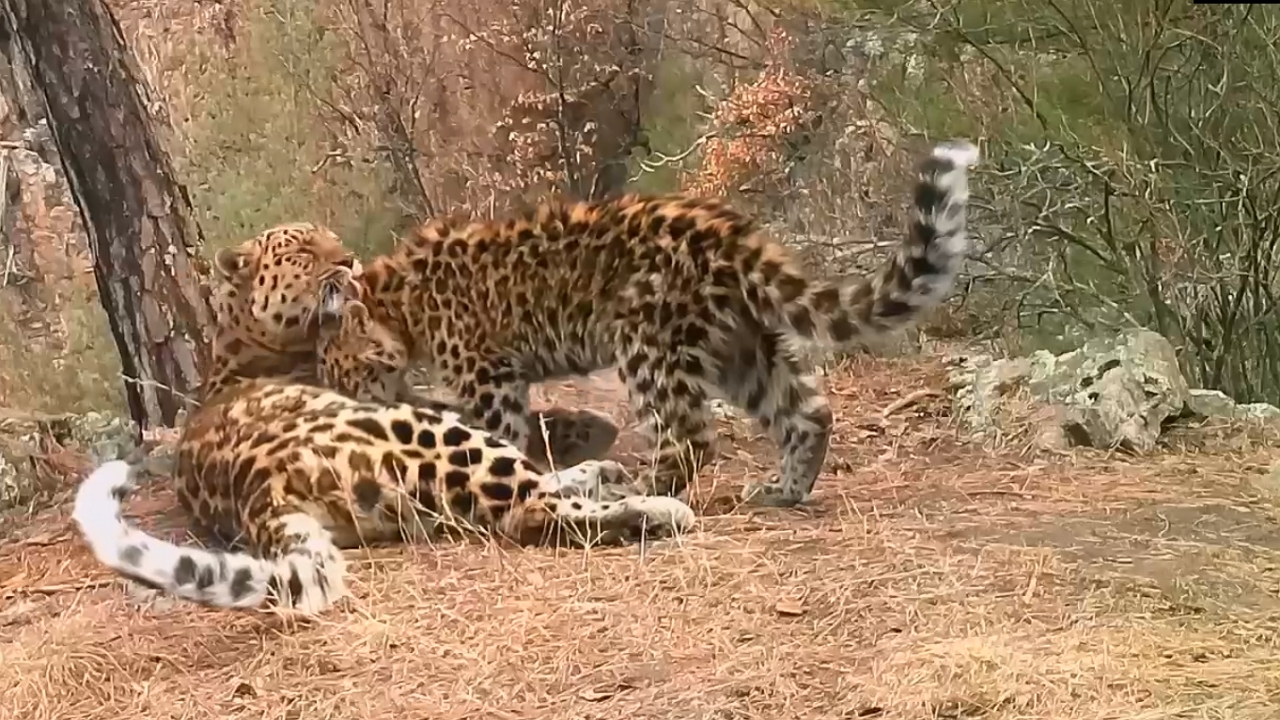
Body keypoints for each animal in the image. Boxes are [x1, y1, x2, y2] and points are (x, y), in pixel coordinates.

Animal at [70, 223, 694, 615]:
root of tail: (260, 493)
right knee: (529, 509)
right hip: (418, 434)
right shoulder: (401, 395)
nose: (349, 260)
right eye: (301, 254)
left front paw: (585, 431)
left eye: (331, 238)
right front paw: (586, 432)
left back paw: (607, 476)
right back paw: (655, 509)